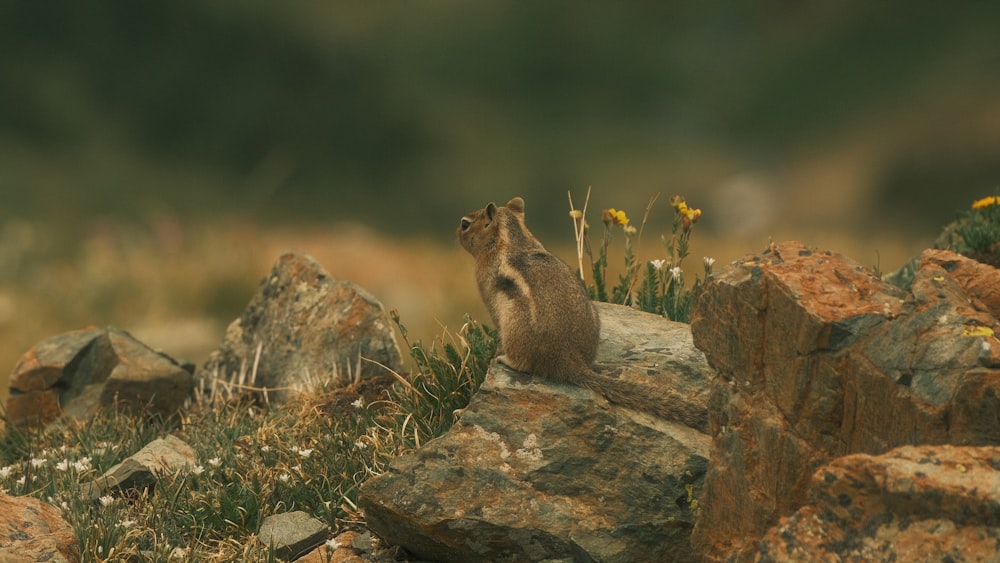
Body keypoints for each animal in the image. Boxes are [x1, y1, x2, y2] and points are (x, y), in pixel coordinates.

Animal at [458, 197, 708, 432]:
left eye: (465, 224)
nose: (456, 231)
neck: (512, 239)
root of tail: (570, 359)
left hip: (514, 325)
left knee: (524, 363)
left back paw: (504, 358)